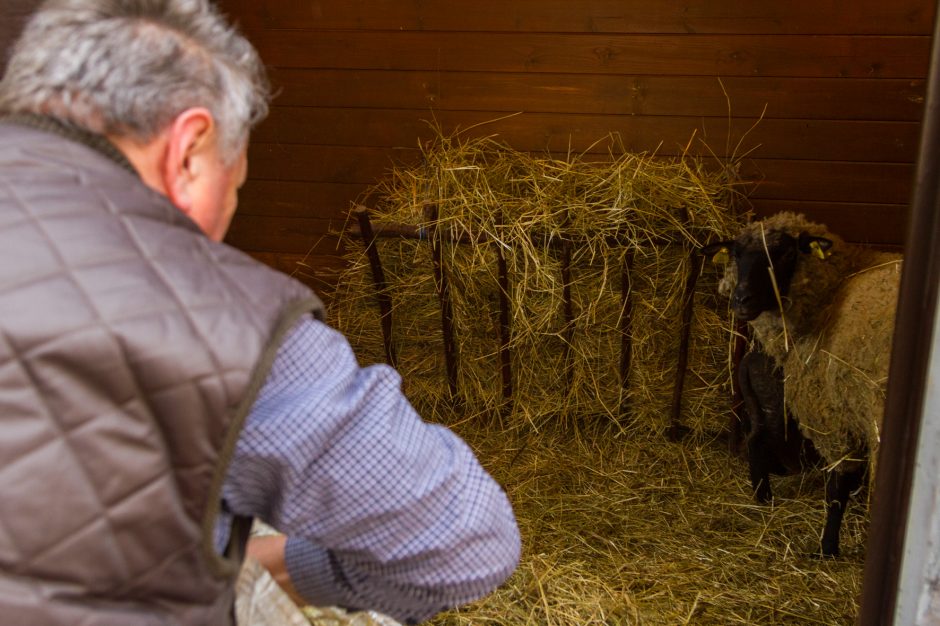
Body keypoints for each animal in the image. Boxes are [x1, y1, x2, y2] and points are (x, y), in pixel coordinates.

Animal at [704, 212, 904, 552]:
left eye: (785, 252)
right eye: (736, 253)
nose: (741, 299)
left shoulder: (830, 414)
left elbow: (838, 485)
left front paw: (828, 547)